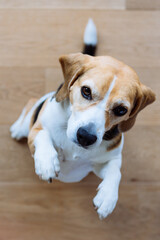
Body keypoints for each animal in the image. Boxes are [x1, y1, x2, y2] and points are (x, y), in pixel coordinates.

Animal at [9, 19, 155, 219]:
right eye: (86, 91)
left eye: (121, 110)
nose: (86, 137)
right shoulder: (38, 129)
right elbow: (43, 135)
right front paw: (47, 162)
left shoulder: (106, 160)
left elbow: (115, 171)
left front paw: (108, 197)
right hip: (35, 111)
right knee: (31, 104)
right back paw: (18, 127)